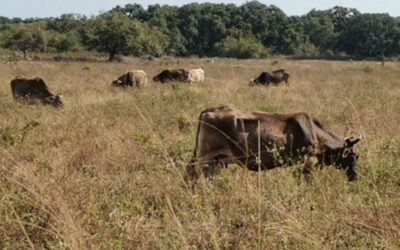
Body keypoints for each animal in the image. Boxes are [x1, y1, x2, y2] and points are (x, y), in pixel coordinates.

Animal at [188, 106, 362, 183]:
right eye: (354, 156)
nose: (354, 177)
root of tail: (210, 110)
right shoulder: (306, 162)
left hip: (215, 160)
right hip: (205, 156)